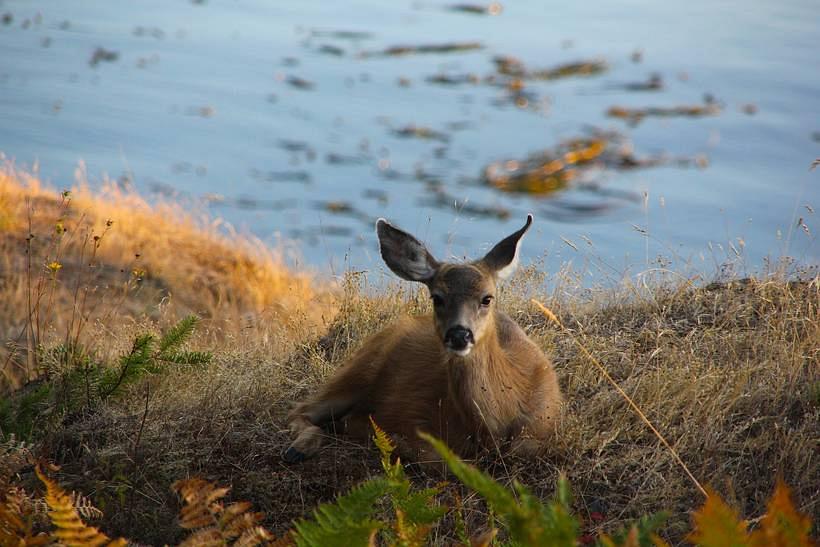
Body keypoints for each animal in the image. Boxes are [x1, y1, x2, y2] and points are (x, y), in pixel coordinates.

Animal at [286, 216, 560, 464]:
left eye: (487, 298)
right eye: (437, 297)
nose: (459, 334)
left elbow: (523, 450)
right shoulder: (416, 416)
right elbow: (435, 459)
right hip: (358, 371)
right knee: (300, 409)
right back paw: (300, 448)